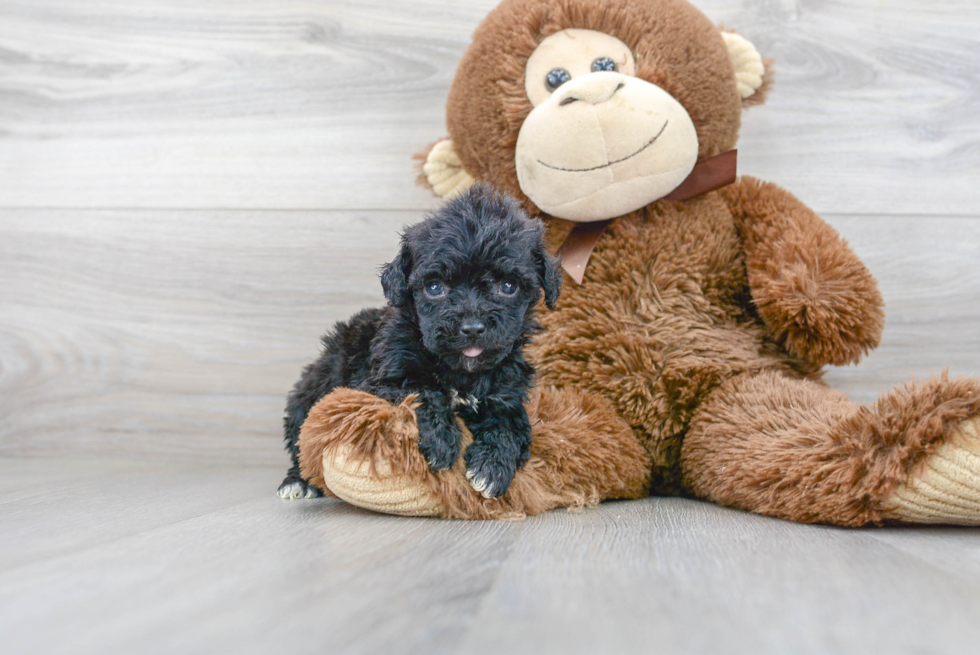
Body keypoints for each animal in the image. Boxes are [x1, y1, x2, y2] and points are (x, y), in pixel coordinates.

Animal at [280, 184, 564, 502]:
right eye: (435, 288)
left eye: (508, 286)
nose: (472, 328)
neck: (461, 372)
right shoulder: (382, 379)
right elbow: (421, 391)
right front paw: (441, 442)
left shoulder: (507, 391)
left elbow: (510, 422)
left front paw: (493, 467)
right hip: (310, 395)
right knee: (302, 444)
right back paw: (298, 482)